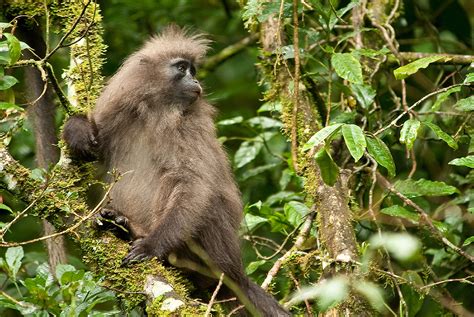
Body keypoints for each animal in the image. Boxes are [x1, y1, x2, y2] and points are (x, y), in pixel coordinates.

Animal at [63, 25, 288, 314]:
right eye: (182, 68)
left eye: (193, 70)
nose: (195, 82)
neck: (155, 111)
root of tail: (235, 272)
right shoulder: (121, 110)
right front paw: (77, 131)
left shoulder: (189, 125)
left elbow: (193, 183)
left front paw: (152, 245)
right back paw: (119, 224)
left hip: (212, 250)